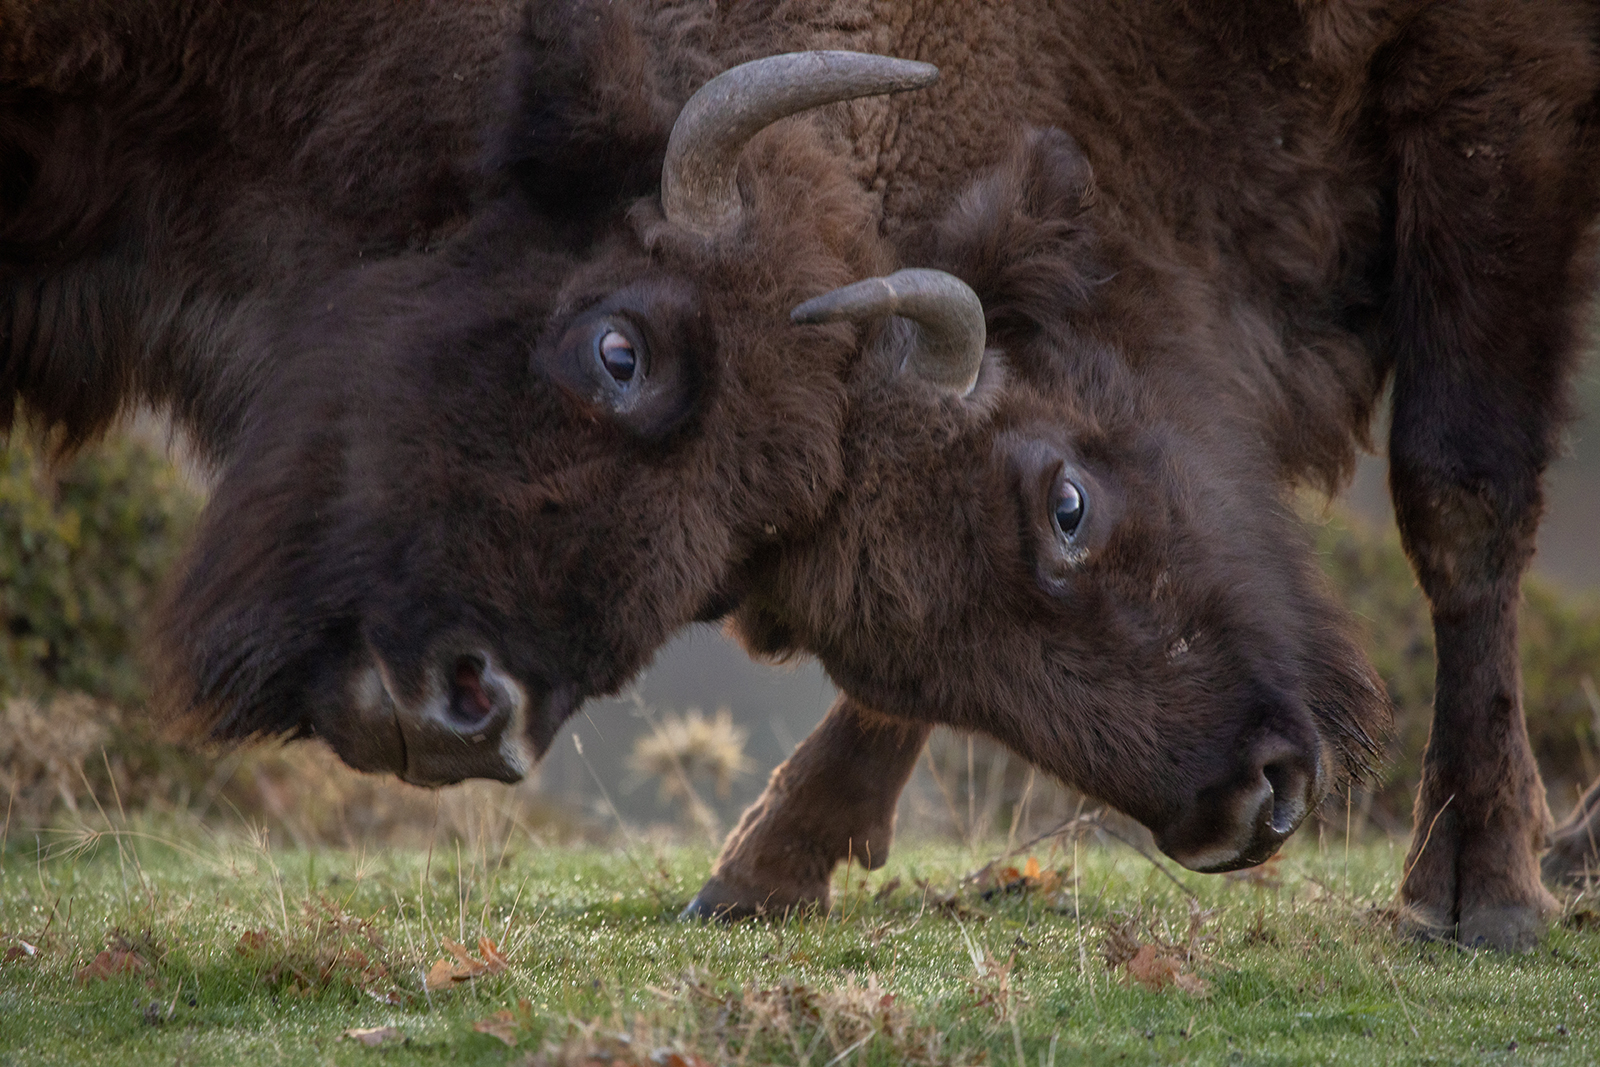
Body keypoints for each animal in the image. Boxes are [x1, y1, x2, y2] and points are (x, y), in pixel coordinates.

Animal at [3, 0, 1600, 953]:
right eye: (846, 646)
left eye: (1066, 502)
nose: (1252, 797)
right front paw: (760, 871)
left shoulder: (1492, 94)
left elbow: (1462, 492)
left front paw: (1478, 893)